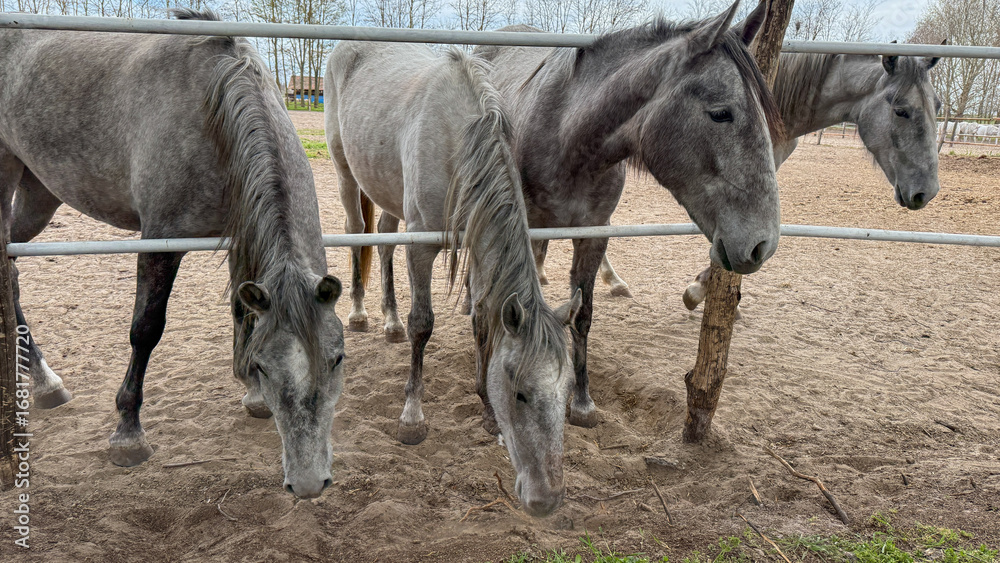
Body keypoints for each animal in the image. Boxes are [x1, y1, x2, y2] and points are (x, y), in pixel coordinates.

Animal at [0, 10, 345, 499]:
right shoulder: (160, 240)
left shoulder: (241, 236)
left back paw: (45, 381)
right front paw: (128, 432)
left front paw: (252, 395)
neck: (214, 108)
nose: (309, 482)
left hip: (39, 192)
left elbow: (243, 311)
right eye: (264, 364)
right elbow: (146, 329)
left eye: (337, 358)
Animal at [325, 42, 581, 516]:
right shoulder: (422, 248)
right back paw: (359, 314)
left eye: (569, 388)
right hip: (347, 176)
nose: (547, 499)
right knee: (359, 235)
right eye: (520, 393)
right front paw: (411, 417)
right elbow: (423, 325)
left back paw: (389, 321)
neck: (459, 141)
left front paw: (485, 409)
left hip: (389, 195)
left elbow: (482, 324)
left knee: (384, 242)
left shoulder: (479, 250)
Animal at [472, 0, 781, 427]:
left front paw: (581, 401)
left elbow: (581, 314)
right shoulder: (518, 231)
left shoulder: (594, 234)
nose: (762, 244)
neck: (565, 133)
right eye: (721, 113)